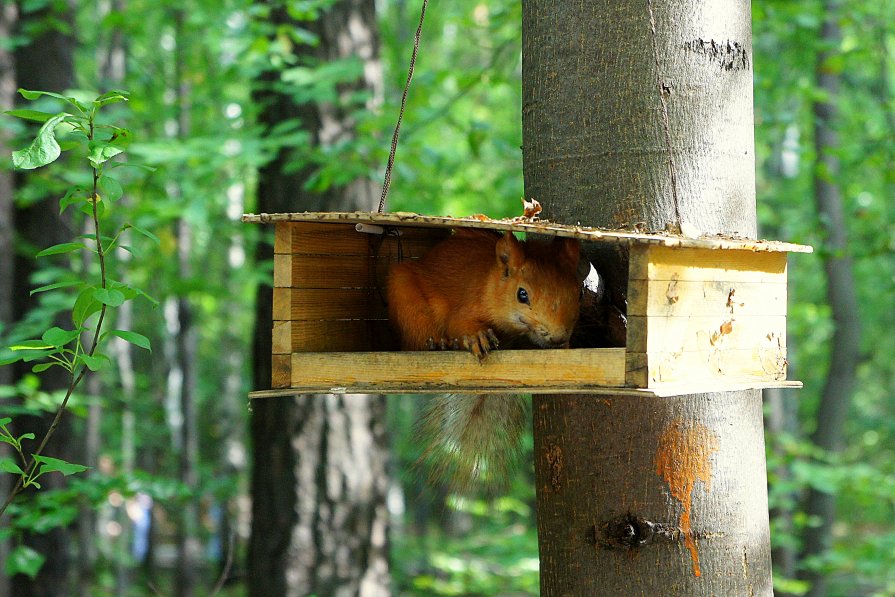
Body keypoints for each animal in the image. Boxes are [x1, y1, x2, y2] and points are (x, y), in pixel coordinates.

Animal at [386, 226, 584, 492]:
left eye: (579, 293)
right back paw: (439, 343)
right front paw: (477, 337)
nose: (558, 337)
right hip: (407, 302)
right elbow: (460, 324)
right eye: (522, 294)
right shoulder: (468, 306)